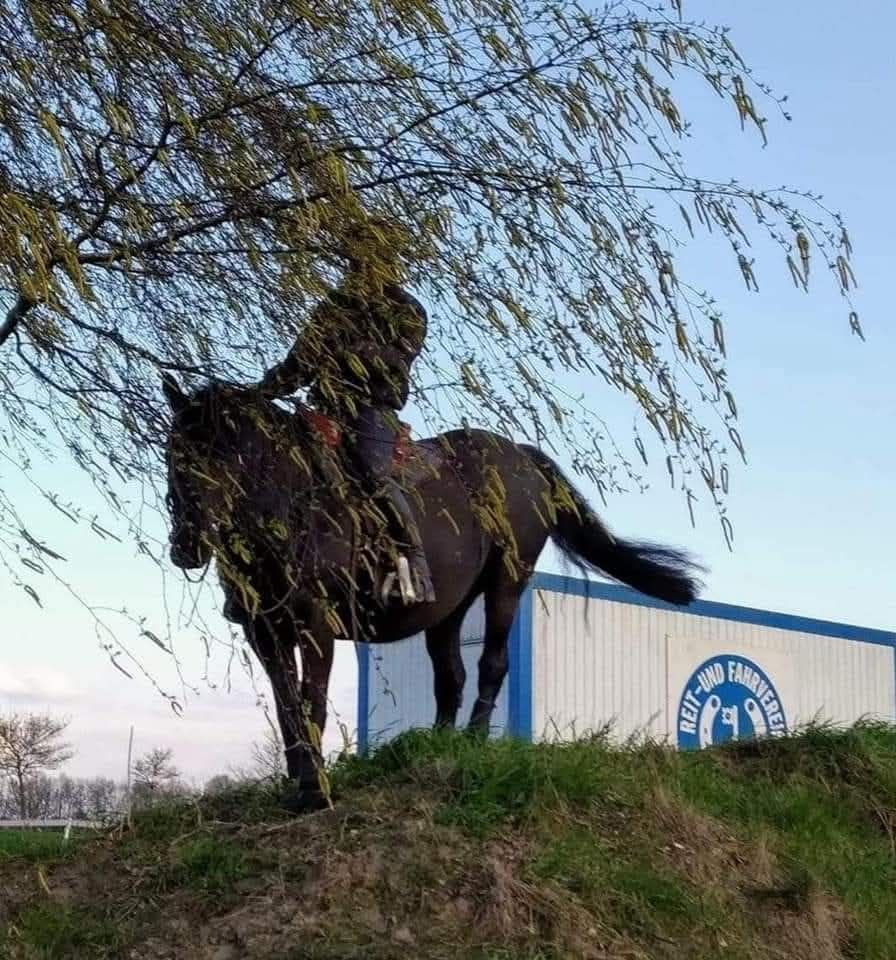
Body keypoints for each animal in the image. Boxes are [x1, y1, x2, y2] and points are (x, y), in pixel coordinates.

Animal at [164, 378, 704, 812]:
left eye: (219, 455)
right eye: (173, 455)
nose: (186, 547)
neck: (286, 507)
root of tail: (521, 456)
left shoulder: (317, 626)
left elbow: (311, 700)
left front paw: (315, 791)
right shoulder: (265, 631)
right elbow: (287, 707)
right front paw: (296, 782)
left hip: (507, 582)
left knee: (492, 663)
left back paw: (475, 739)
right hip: (449, 608)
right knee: (451, 676)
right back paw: (438, 748)